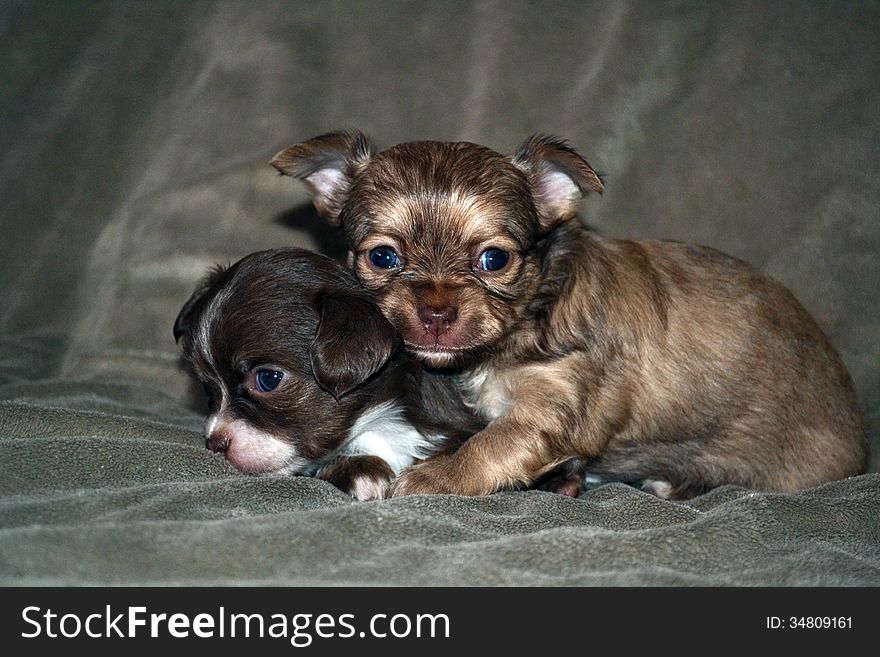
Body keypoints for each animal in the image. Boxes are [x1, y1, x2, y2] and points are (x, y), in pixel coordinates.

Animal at [272, 132, 868, 498]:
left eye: (494, 260)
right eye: (383, 258)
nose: (436, 311)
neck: (522, 327)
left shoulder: (555, 409)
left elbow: (489, 446)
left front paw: (433, 477)